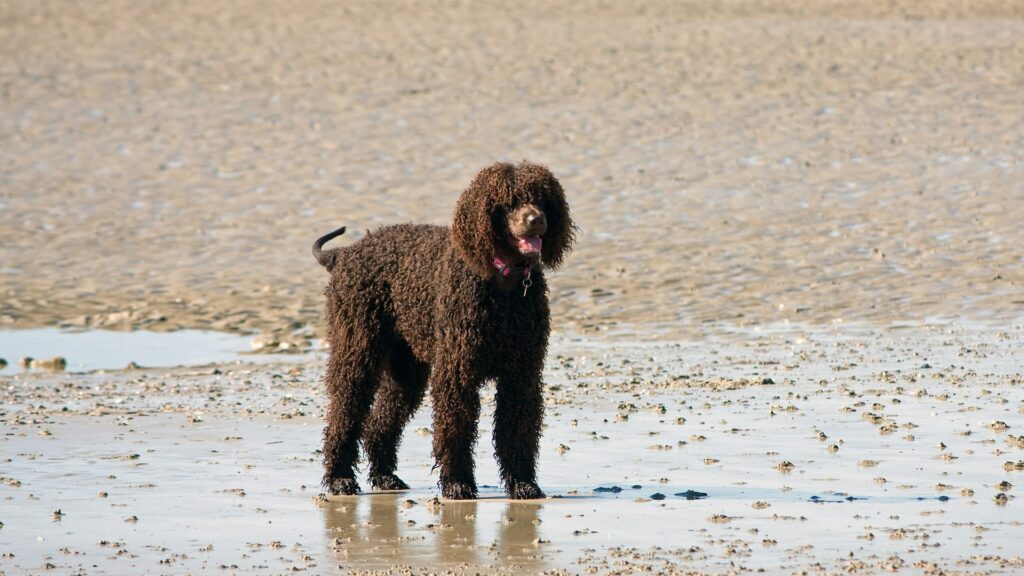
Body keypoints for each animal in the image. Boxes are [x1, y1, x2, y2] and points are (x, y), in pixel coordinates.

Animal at [311, 159, 577, 498]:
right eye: (508, 202)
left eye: (542, 198)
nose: (536, 220)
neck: (501, 282)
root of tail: (344, 254)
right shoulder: (457, 372)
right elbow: (456, 428)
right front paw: (457, 482)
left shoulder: (522, 374)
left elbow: (517, 431)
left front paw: (522, 483)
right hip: (357, 350)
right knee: (344, 413)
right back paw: (339, 478)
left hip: (406, 370)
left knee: (380, 421)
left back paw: (385, 475)